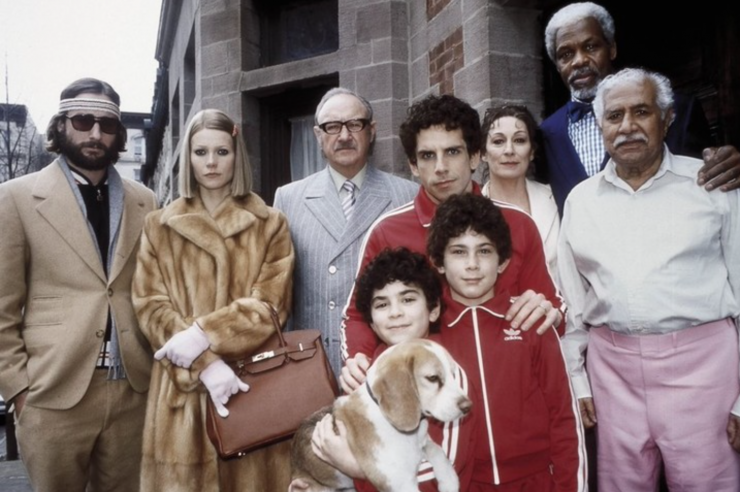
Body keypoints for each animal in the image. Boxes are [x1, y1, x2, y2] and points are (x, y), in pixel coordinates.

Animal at [290, 339, 472, 492]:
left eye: (453, 374)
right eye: (432, 378)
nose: (468, 407)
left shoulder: (424, 443)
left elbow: (438, 451)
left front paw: (449, 481)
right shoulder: (399, 483)